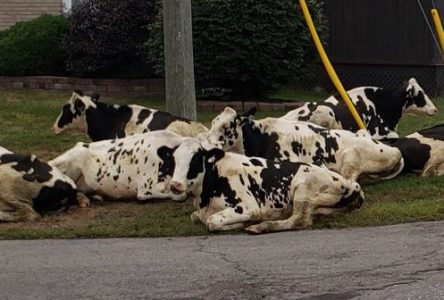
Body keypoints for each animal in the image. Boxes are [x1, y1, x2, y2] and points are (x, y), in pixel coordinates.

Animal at [167, 139, 364, 233]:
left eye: (195, 159)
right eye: (174, 159)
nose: (175, 184)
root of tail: (351, 184)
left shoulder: (247, 207)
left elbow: (212, 222)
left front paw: (243, 223)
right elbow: (195, 217)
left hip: (302, 184)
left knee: (299, 220)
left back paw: (260, 227)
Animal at [199, 106, 404, 182]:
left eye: (226, 126)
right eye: (213, 122)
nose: (208, 143)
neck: (261, 137)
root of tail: (395, 150)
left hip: (350, 159)